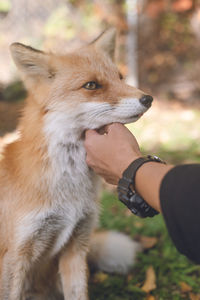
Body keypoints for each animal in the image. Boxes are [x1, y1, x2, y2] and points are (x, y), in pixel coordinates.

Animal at [0, 28, 153, 300]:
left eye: (120, 77)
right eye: (91, 85)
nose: (148, 98)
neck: (68, 192)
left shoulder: (76, 244)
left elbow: (78, 292)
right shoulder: (15, 254)